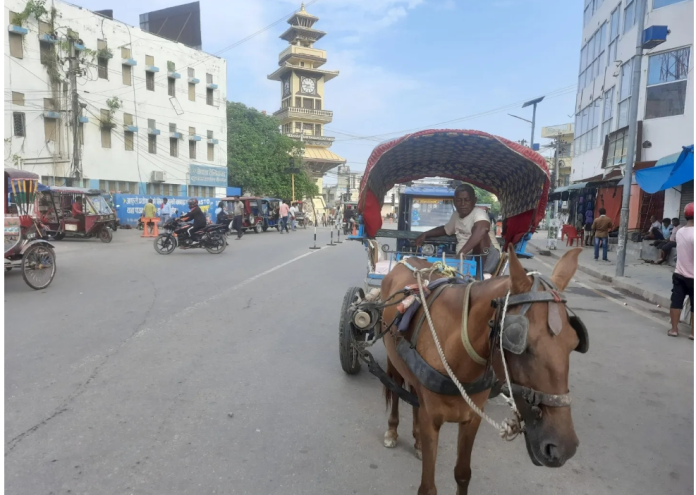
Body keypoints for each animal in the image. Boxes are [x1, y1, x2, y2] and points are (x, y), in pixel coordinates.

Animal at [380, 246, 580, 494]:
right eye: (521, 343)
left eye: (574, 342)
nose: (563, 447)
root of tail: (405, 259)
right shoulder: (431, 420)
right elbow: (428, 487)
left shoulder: (472, 418)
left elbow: (462, 474)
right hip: (393, 360)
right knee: (396, 391)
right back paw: (392, 431)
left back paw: (416, 441)